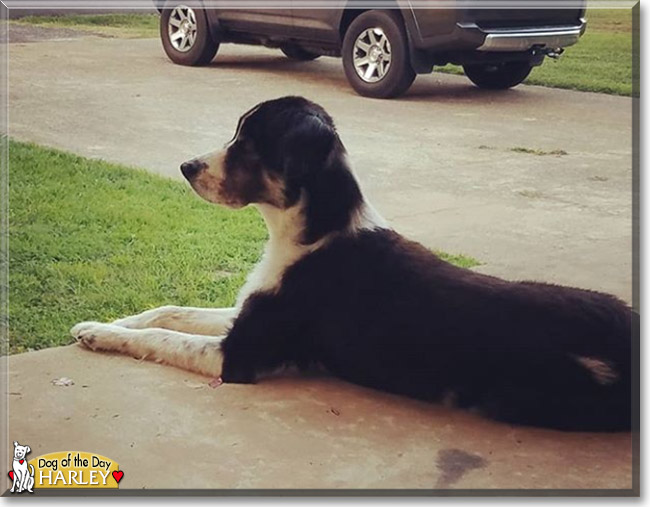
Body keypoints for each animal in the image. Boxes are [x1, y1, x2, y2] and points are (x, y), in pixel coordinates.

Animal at [69, 96, 628, 432]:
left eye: (248, 144)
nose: (185, 167)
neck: (313, 231)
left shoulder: (239, 354)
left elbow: (162, 337)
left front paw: (101, 334)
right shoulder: (246, 310)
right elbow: (169, 311)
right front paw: (107, 321)